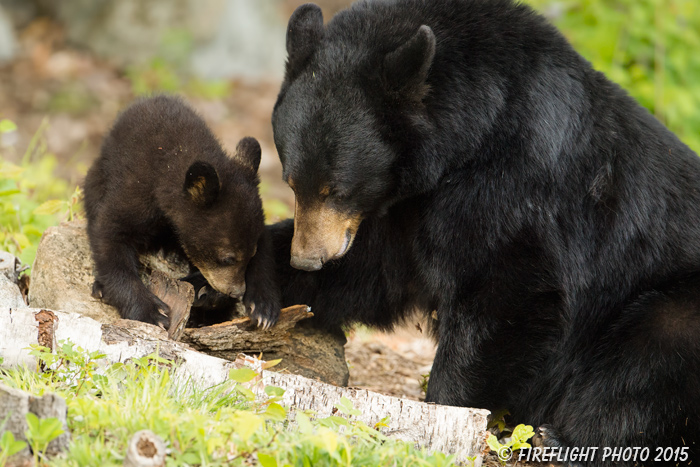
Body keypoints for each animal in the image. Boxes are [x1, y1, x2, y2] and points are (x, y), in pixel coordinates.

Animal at [83, 95, 278, 330]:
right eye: (227, 258)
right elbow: (110, 234)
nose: (236, 291)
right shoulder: (136, 190)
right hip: (96, 179)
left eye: (251, 254)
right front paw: (152, 312)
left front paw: (263, 307)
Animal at [270, 0, 700, 464]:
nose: (307, 258)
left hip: (671, 306)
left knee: (646, 360)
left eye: (337, 189)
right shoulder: (408, 205)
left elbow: (506, 291)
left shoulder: (517, 178)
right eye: (292, 183)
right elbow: (374, 270)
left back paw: (559, 439)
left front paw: (445, 412)